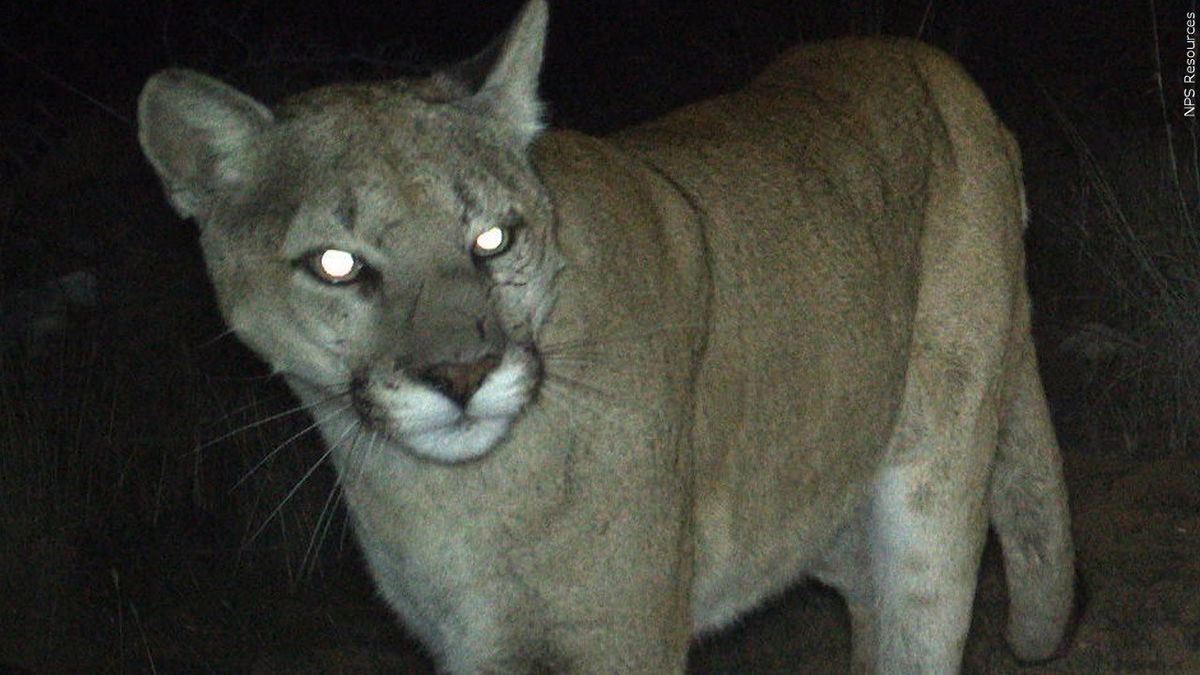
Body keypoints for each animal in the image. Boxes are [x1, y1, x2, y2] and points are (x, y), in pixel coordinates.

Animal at [136, 2, 1075, 667]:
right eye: (336, 264)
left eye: (492, 239)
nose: (465, 373)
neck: (451, 495)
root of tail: (931, 64)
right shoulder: (475, 646)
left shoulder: (620, 634)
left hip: (934, 499)